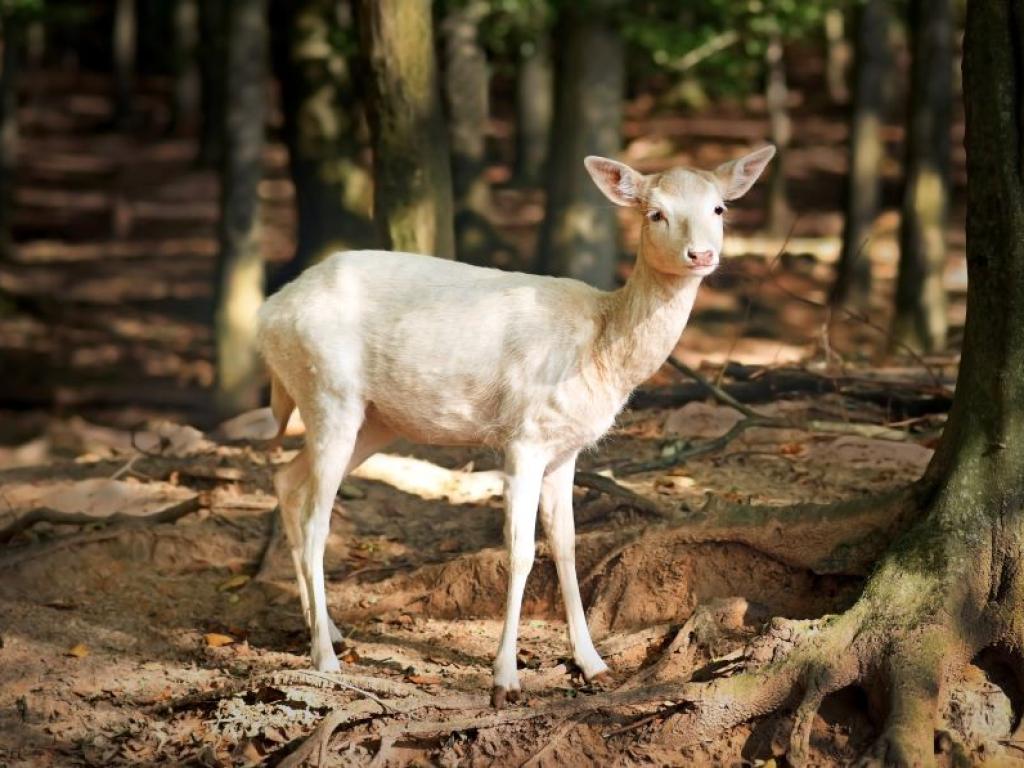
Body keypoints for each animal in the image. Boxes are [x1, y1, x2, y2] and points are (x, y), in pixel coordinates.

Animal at [256, 144, 774, 708]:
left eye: (719, 208)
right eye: (655, 212)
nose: (701, 255)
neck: (601, 348)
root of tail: (269, 310)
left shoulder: (567, 447)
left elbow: (566, 547)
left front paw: (594, 665)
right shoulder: (523, 435)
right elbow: (521, 550)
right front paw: (505, 678)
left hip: (375, 419)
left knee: (287, 478)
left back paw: (328, 629)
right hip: (329, 391)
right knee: (316, 518)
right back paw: (325, 659)